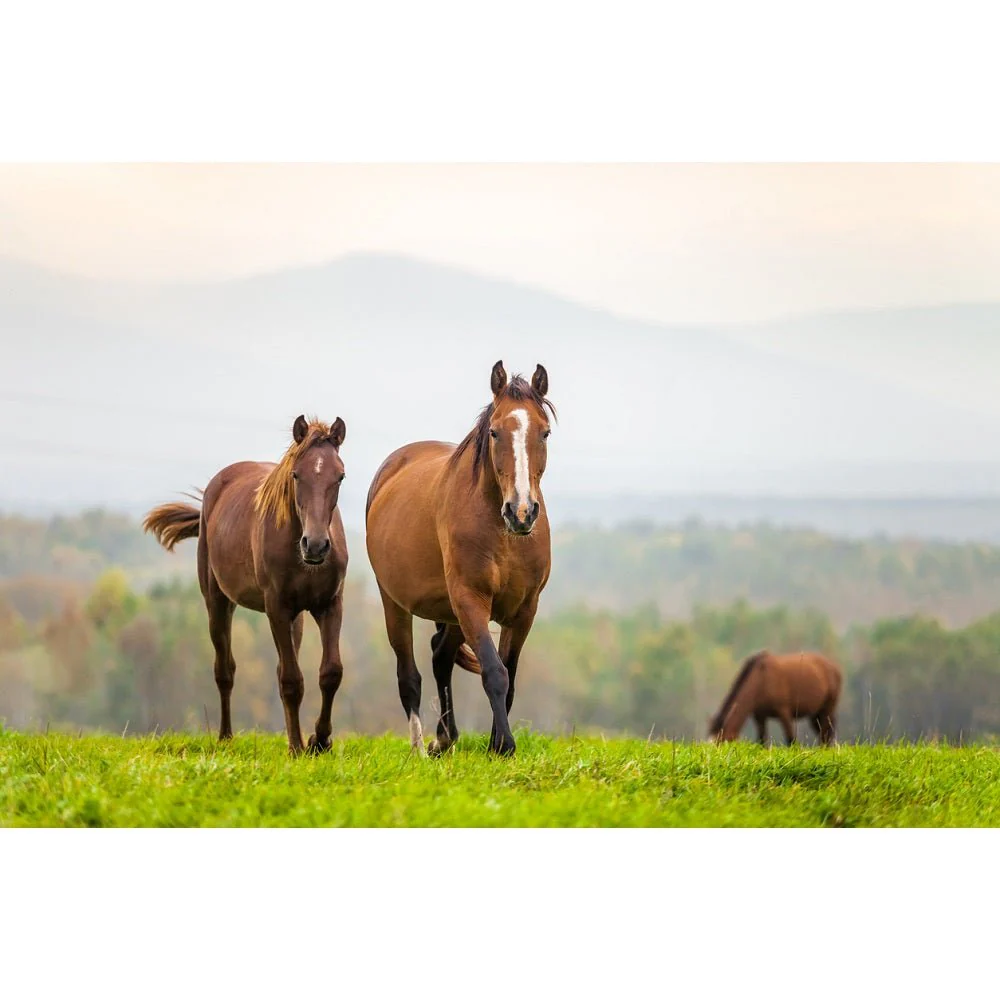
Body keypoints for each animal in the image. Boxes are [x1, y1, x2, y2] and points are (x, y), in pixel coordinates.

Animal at [143, 415, 349, 755]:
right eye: (296, 474)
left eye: (340, 476)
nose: (316, 546)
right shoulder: (276, 608)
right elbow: (291, 681)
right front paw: (297, 747)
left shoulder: (329, 605)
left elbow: (330, 673)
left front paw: (319, 741)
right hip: (217, 602)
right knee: (225, 670)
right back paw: (226, 737)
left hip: (296, 617)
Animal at [365, 360, 555, 757]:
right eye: (495, 432)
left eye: (544, 433)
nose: (522, 512)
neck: (503, 535)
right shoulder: (471, 599)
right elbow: (494, 672)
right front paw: (504, 745)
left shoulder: (524, 610)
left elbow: (510, 675)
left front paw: (496, 742)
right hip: (396, 603)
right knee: (409, 675)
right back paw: (419, 748)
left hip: (450, 612)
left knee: (440, 656)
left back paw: (444, 738)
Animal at [709, 650, 842, 746]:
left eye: (722, 742)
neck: (762, 678)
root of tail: (835, 668)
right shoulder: (760, 716)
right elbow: (762, 741)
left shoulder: (784, 713)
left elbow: (791, 739)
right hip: (815, 714)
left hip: (827, 709)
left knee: (825, 733)